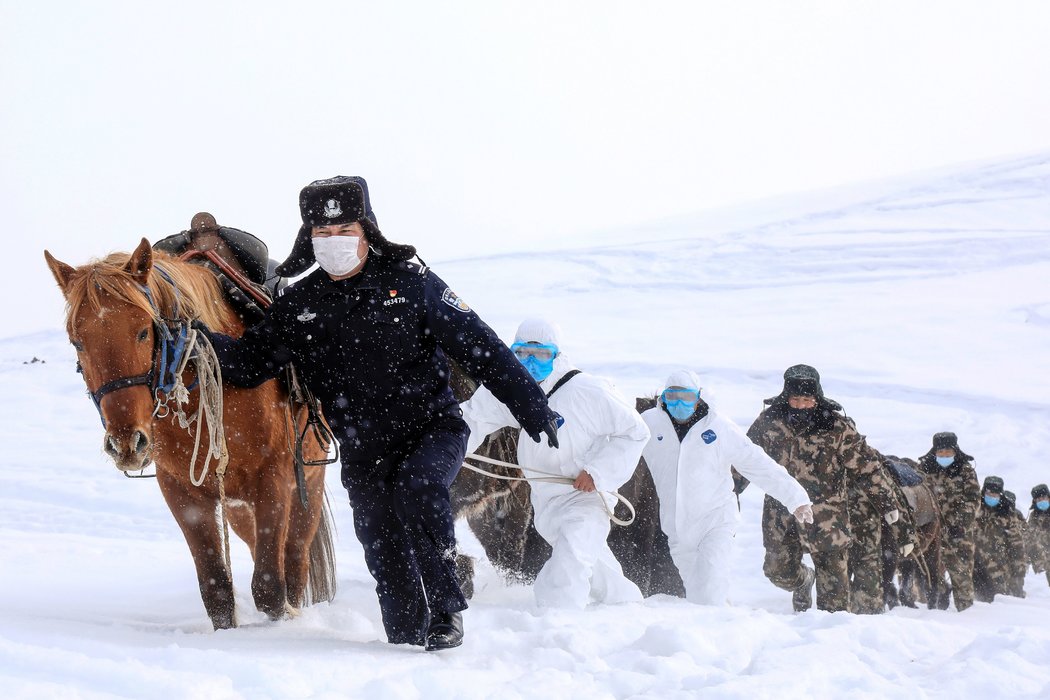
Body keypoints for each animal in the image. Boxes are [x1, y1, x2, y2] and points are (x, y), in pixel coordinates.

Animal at [46, 239, 336, 629]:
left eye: (143, 330)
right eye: (78, 342)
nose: (126, 443)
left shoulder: (272, 480)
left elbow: (270, 588)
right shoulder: (182, 492)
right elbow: (216, 589)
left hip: (307, 485)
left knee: (294, 559)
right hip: (238, 509)